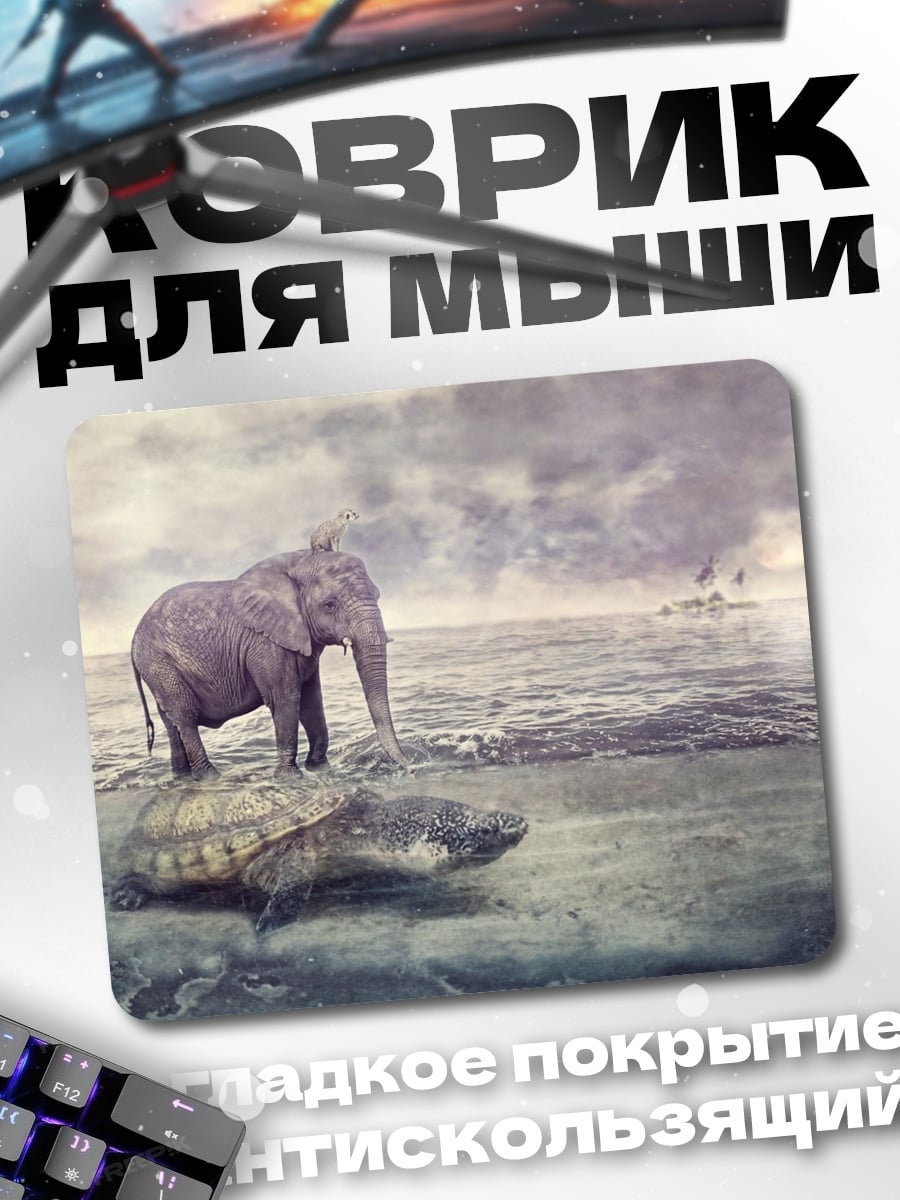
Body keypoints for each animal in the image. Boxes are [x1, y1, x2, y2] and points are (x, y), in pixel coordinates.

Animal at [131, 550, 408, 779]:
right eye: (330, 605)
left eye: (377, 596)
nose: (408, 766)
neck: (300, 560)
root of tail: (133, 643)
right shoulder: (265, 643)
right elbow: (285, 698)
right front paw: (290, 777)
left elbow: (311, 699)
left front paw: (320, 768)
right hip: (159, 664)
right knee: (186, 716)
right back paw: (210, 777)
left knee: (171, 722)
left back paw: (182, 778)